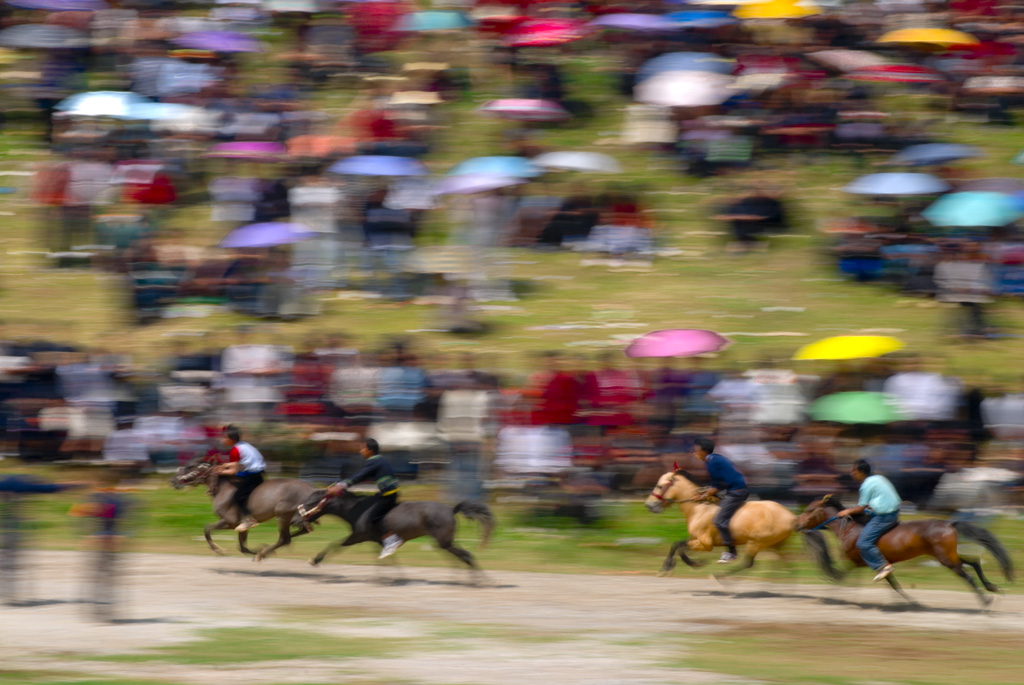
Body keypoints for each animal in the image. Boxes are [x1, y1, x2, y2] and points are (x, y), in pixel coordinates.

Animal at [169, 454, 317, 561]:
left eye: (190, 466)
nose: (173, 481)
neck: (223, 488)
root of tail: (312, 489)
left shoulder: (230, 522)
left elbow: (207, 529)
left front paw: (219, 550)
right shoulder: (241, 525)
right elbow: (242, 547)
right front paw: (260, 550)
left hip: (282, 515)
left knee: (284, 539)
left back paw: (263, 553)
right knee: (300, 531)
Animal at [294, 489, 497, 581]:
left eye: (310, 502)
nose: (295, 520)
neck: (357, 509)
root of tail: (451, 509)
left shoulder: (358, 536)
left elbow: (335, 545)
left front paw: (315, 560)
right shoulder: (376, 540)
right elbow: (389, 558)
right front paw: (394, 577)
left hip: (444, 542)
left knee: (466, 555)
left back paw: (478, 581)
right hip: (443, 542)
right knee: (460, 557)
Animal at [643, 466, 794, 573]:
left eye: (660, 486)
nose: (649, 505)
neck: (699, 508)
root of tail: (791, 516)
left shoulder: (705, 543)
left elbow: (679, 547)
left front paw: (693, 564)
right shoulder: (695, 539)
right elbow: (676, 545)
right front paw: (670, 566)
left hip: (756, 543)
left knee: (748, 563)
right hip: (775, 544)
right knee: (786, 564)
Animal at [794, 493, 1011, 606]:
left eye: (809, 510)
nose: (797, 523)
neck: (849, 528)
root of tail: (950, 524)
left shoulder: (856, 561)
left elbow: (839, 577)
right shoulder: (881, 564)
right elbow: (894, 583)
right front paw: (911, 602)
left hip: (946, 559)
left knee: (968, 576)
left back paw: (985, 601)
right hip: (948, 556)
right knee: (974, 562)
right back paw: (992, 587)